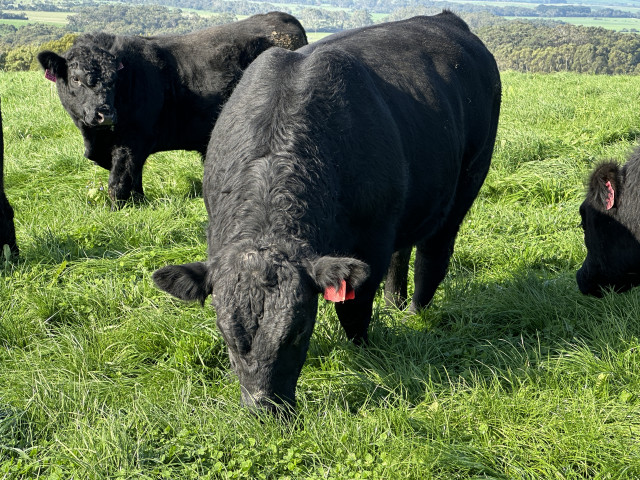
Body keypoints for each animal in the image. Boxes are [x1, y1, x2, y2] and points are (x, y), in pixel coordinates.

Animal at [37, 12, 308, 204]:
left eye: (114, 78)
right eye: (75, 79)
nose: (106, 114)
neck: (95, 139)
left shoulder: (132, 140)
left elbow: (120, 181)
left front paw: (117, 210)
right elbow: (135, 178)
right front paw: (140, 203)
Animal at [152, 12, 502, 412]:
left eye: (298, 332)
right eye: (226, 336)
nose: (265, 410)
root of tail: (445, 19)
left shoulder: (370, 243)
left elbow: (354, 309)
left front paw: (364, 354)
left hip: (466, 183)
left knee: (433, 256)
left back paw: (414, 314)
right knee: (404, 251)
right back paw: (395, 303)